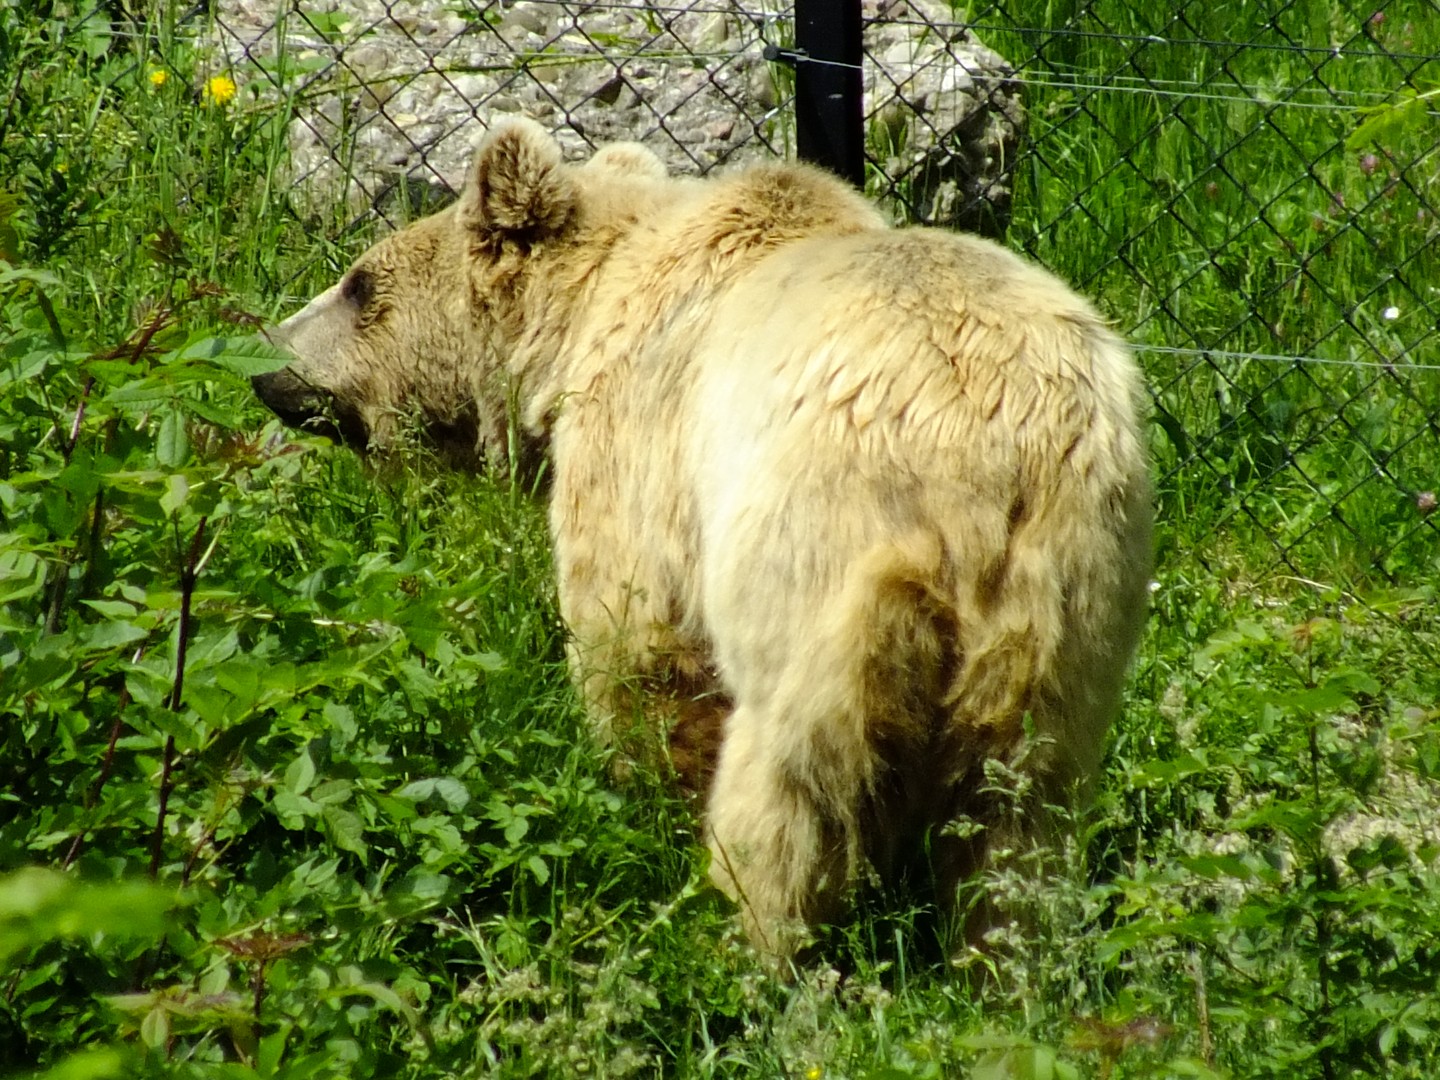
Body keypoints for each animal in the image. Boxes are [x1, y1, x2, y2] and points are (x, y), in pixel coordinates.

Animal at [253, 118, 1154, 960]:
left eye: (359, 283)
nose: (265, 365)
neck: (577, 325)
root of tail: (987, 452)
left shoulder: (643, 442)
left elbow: (638, 644)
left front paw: (645, 808)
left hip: (820, 547)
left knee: (794, 777)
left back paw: (739, 939)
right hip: (1073, 586)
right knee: (1021, 795)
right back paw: (1003, 958)